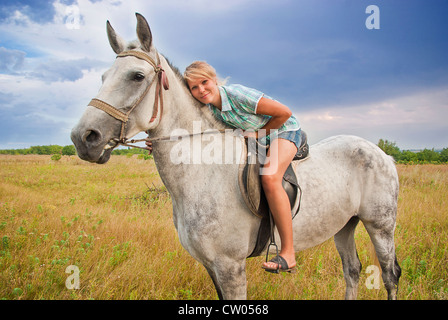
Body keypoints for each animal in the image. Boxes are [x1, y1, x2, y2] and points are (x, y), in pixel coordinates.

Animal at [71, 13, 402, 300]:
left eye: (137, 76)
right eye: (103, 76)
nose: (83, 138)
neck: (202, 171)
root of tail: (382, 154)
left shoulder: (230, 266)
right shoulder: (211, 266)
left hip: (380, 226)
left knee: (390, 275)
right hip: (345, 224)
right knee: (353, 270)